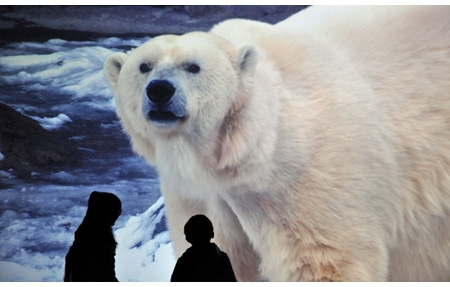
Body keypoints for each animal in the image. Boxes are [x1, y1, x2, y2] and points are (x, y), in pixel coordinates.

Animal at [103, 5, 450, 282]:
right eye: (144, 66)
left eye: (193, 66)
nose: (160, 90)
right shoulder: (199, 194)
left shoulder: (306, 178)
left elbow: (322, 261)